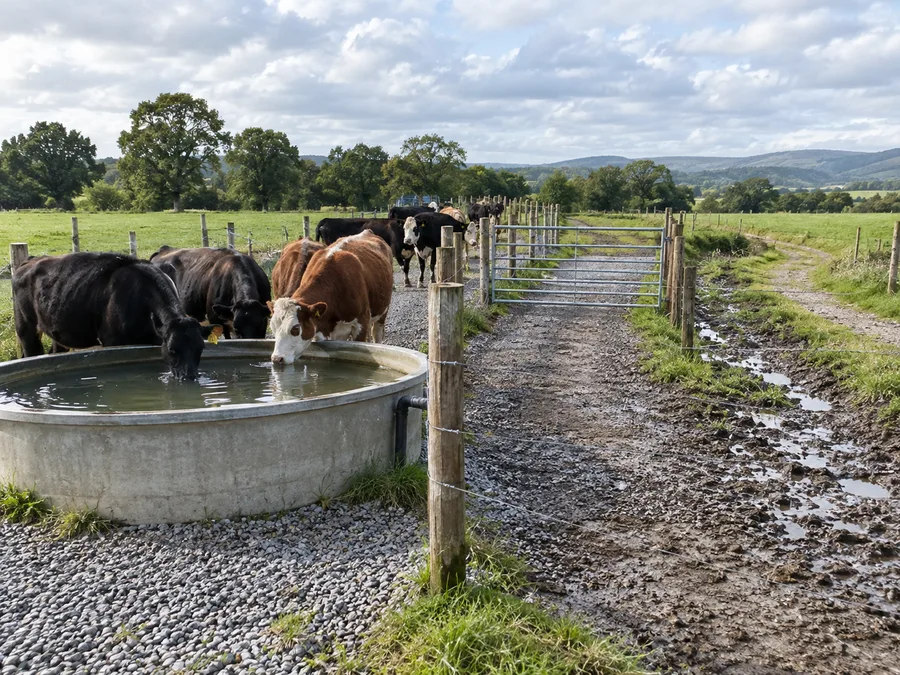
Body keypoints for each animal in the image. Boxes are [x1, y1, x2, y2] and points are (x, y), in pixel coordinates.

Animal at [12, 252, 218, 380]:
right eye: (172, 349)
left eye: (201, 348)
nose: (189, 377)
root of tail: (29, 261)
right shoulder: (112, 340)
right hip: (26, 327)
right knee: (31, 351)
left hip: (57, 330)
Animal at [269, 230, 393, 365]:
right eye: (272, 327)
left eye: (295, 328)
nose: (277, 359)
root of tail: (367, 231)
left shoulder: (362, 323)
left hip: (383, 312)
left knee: (377, 333)